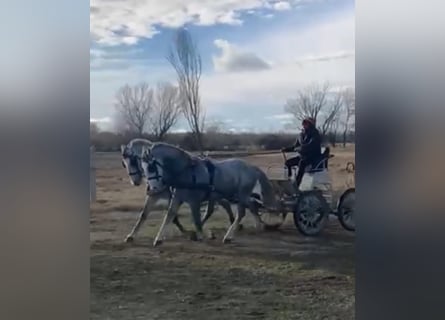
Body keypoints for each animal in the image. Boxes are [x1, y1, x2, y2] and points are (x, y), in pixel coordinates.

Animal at [140, 142, 280, 245]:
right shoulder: (177, 198)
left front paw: (200, 236)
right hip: (239, 196)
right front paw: (158, 239)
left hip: (242, 195)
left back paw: (232, 235)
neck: (187, 171)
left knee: (245, 211)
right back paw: (253, 227)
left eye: (151, 167)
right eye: (143, 168)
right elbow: (169, 215)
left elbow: (196, 220)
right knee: (251, 207)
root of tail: (252, 167)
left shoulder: (194, 201)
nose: (152, 189)